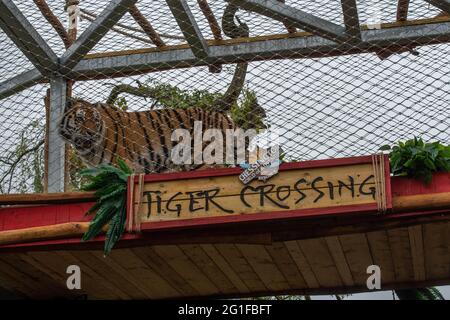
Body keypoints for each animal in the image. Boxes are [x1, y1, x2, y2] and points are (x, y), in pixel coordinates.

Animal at [58, 99, 237, 174]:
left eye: (94, 121)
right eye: (80, 119)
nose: (91, 132)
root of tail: (224, 117)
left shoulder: (122, 165)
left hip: (200, 159)